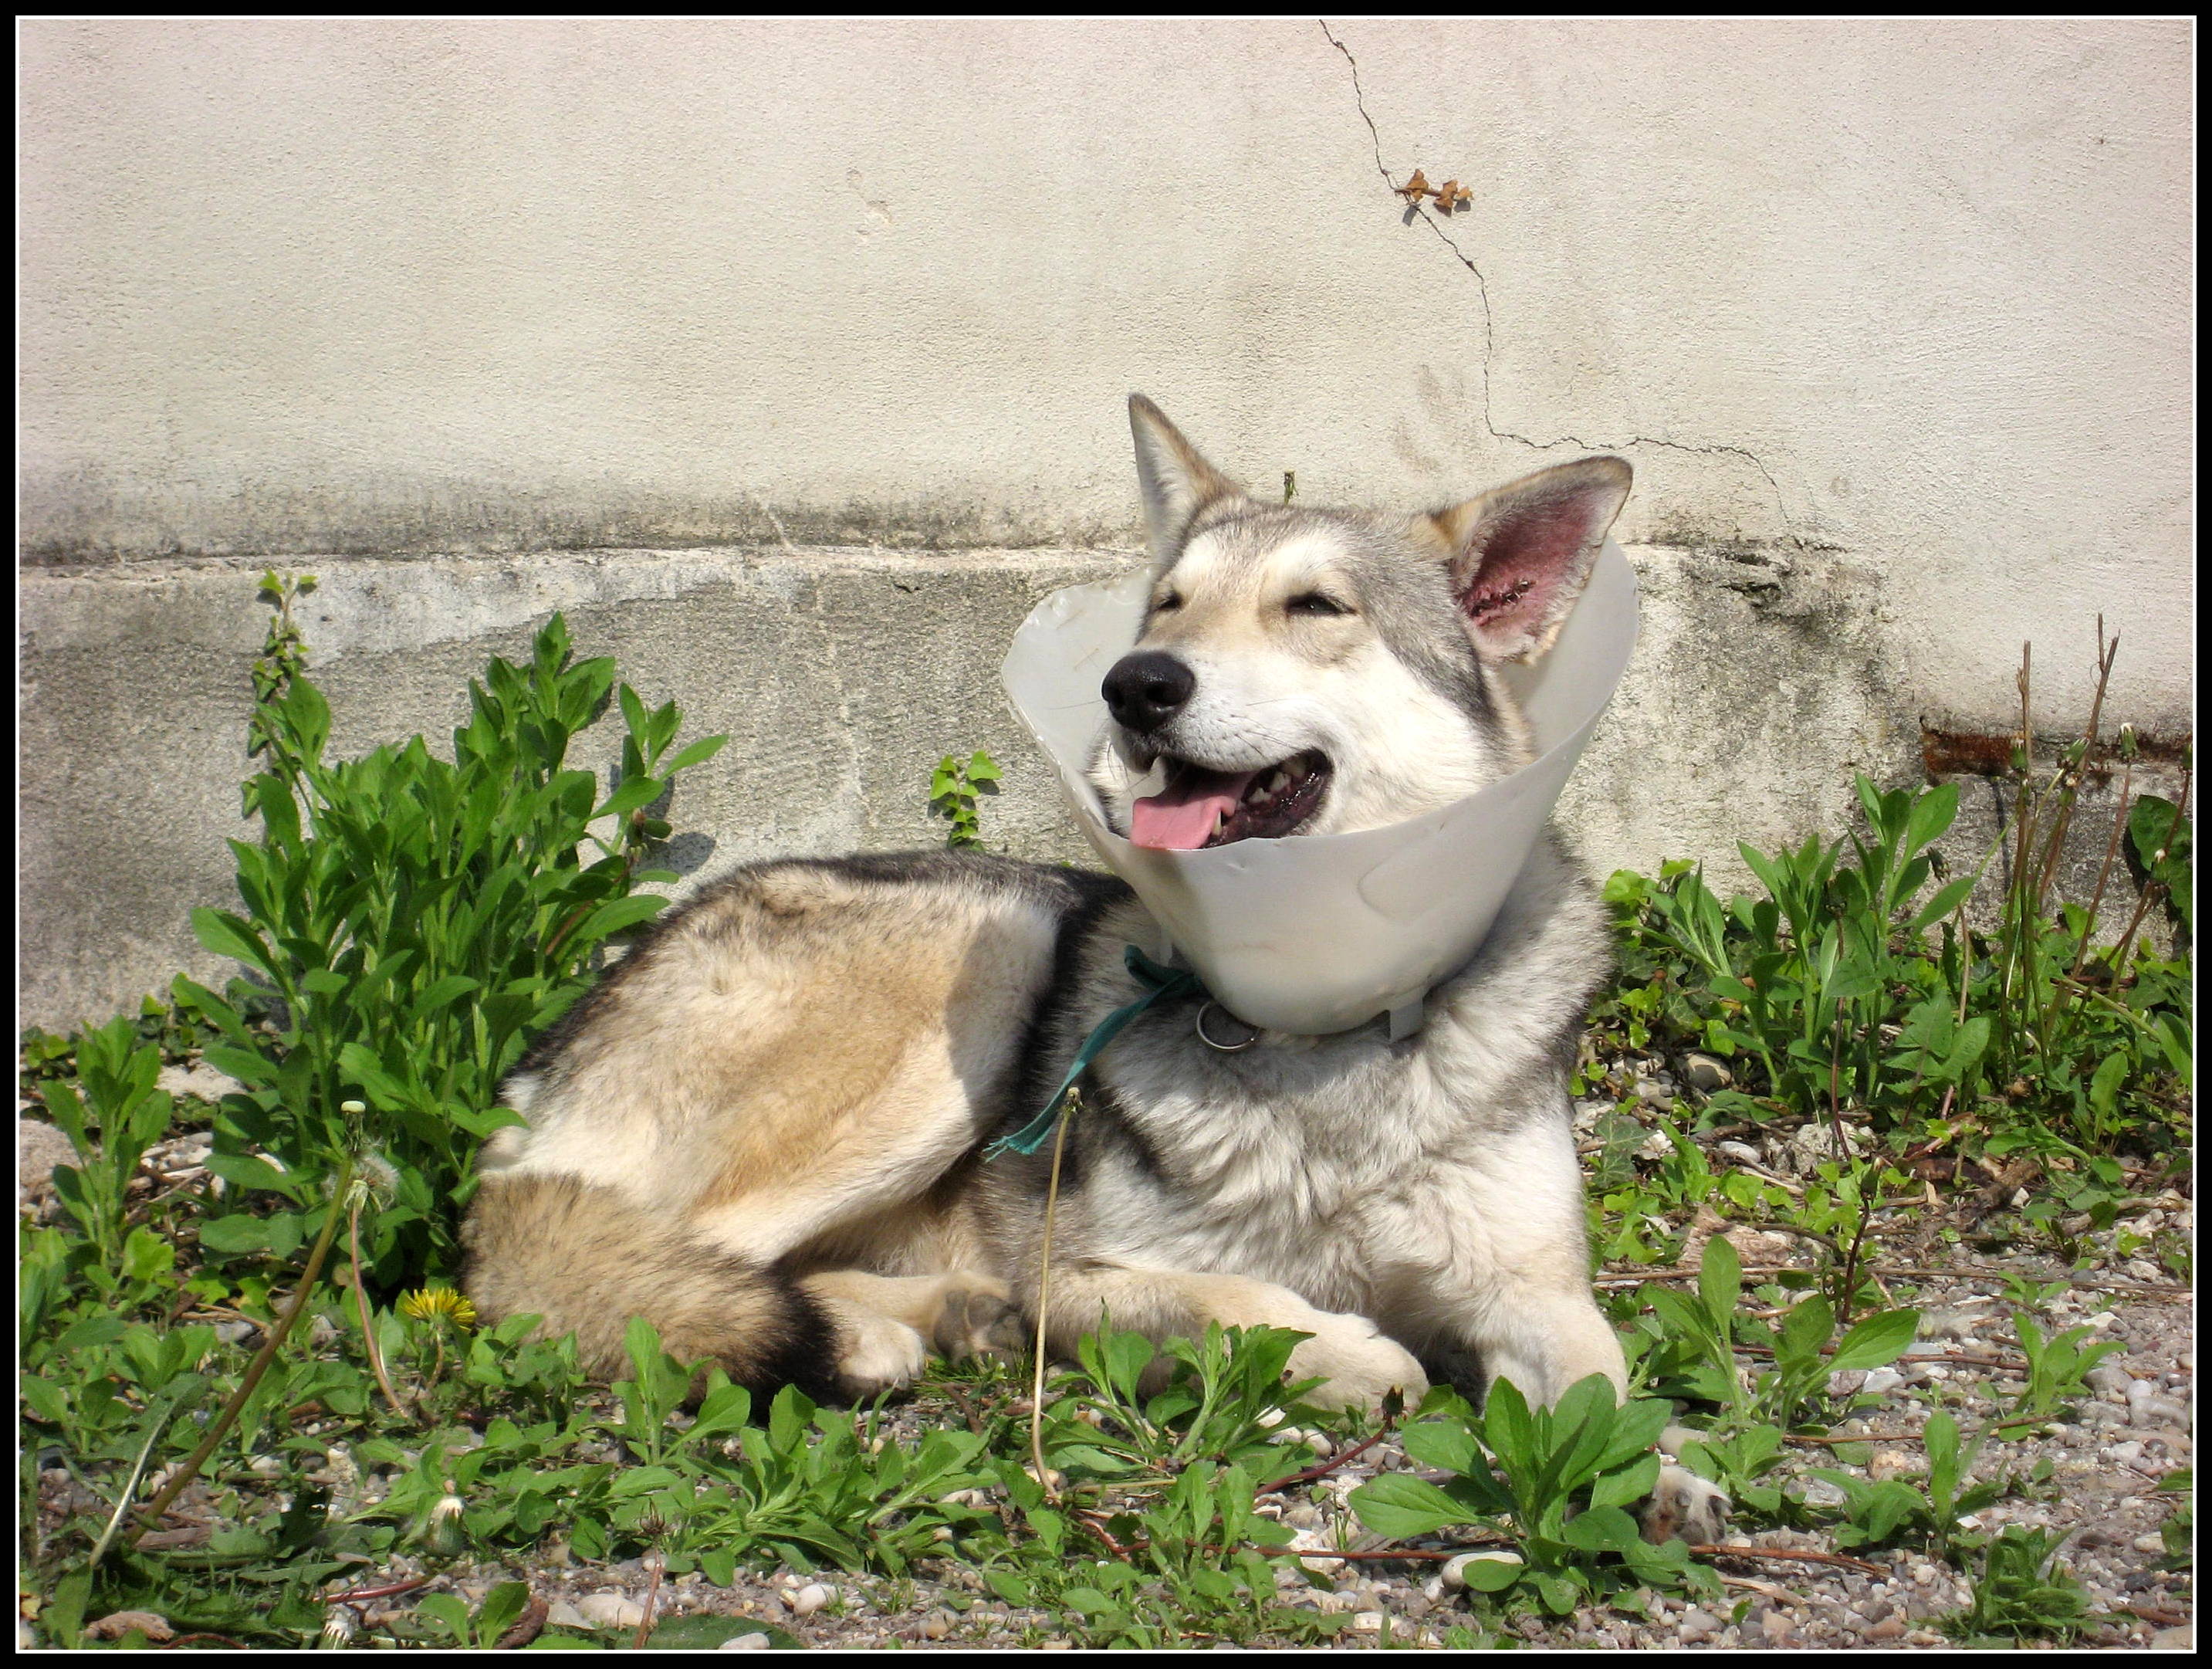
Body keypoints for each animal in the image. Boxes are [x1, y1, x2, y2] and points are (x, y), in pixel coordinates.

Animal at [462, 396, 1725, 1540]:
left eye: (1315, 606)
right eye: (1170, 601)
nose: (1137, 683)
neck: (1319, 1033)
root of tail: (547, 1058)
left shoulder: (1531, 1291)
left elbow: (1599, 1389)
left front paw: (1652, 1472)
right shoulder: (1075, 1275)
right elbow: (1230, 1303)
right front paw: (1344, 1352)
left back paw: (941, 1316)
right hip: (993, 951)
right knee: (625, 1264)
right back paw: (874, 1332)